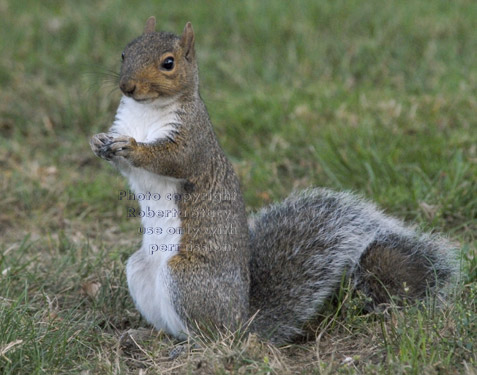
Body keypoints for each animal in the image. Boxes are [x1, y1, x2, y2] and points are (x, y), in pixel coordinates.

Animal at [89, 18, 458, 346]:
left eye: (168, 63)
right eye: (124, 53)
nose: (127, 87)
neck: (146, 111)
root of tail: (242, 321)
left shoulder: (194, 141)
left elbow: (172, 160)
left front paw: (133, 148)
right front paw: (98, 142)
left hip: (187, 280)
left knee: (211, 337)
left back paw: (193, 346)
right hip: (139, 270)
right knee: (174, 328)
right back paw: (144, 337)